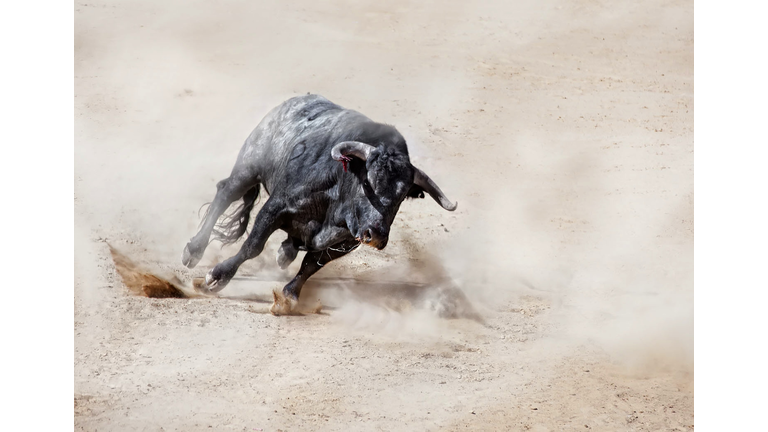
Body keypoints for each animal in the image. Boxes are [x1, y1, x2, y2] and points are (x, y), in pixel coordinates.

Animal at [182, 94, 456, 314]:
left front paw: (289, 298)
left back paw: (286, 251)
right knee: (225, 194)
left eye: (401, 196)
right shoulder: (276, 207)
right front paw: (216, 277)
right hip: (248, 167)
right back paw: (193, 250)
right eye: (368, 182)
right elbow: (253, 246)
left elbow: (311, 265)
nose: (376, 235)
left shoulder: (344, 243)